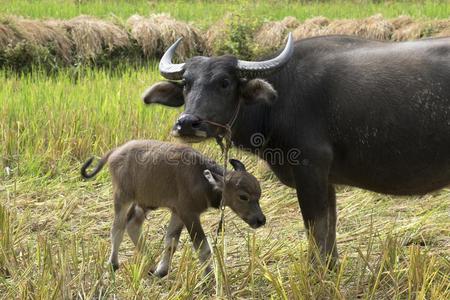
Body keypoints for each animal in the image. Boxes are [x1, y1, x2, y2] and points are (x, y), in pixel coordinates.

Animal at [142, 34, 450, 264]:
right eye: (186, 84)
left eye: (225, 82)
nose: (187, 123)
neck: (278, 102)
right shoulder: (326, 180)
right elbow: (329, 229)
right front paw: (329, 269)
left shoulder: (309, 171)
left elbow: (314, 228)